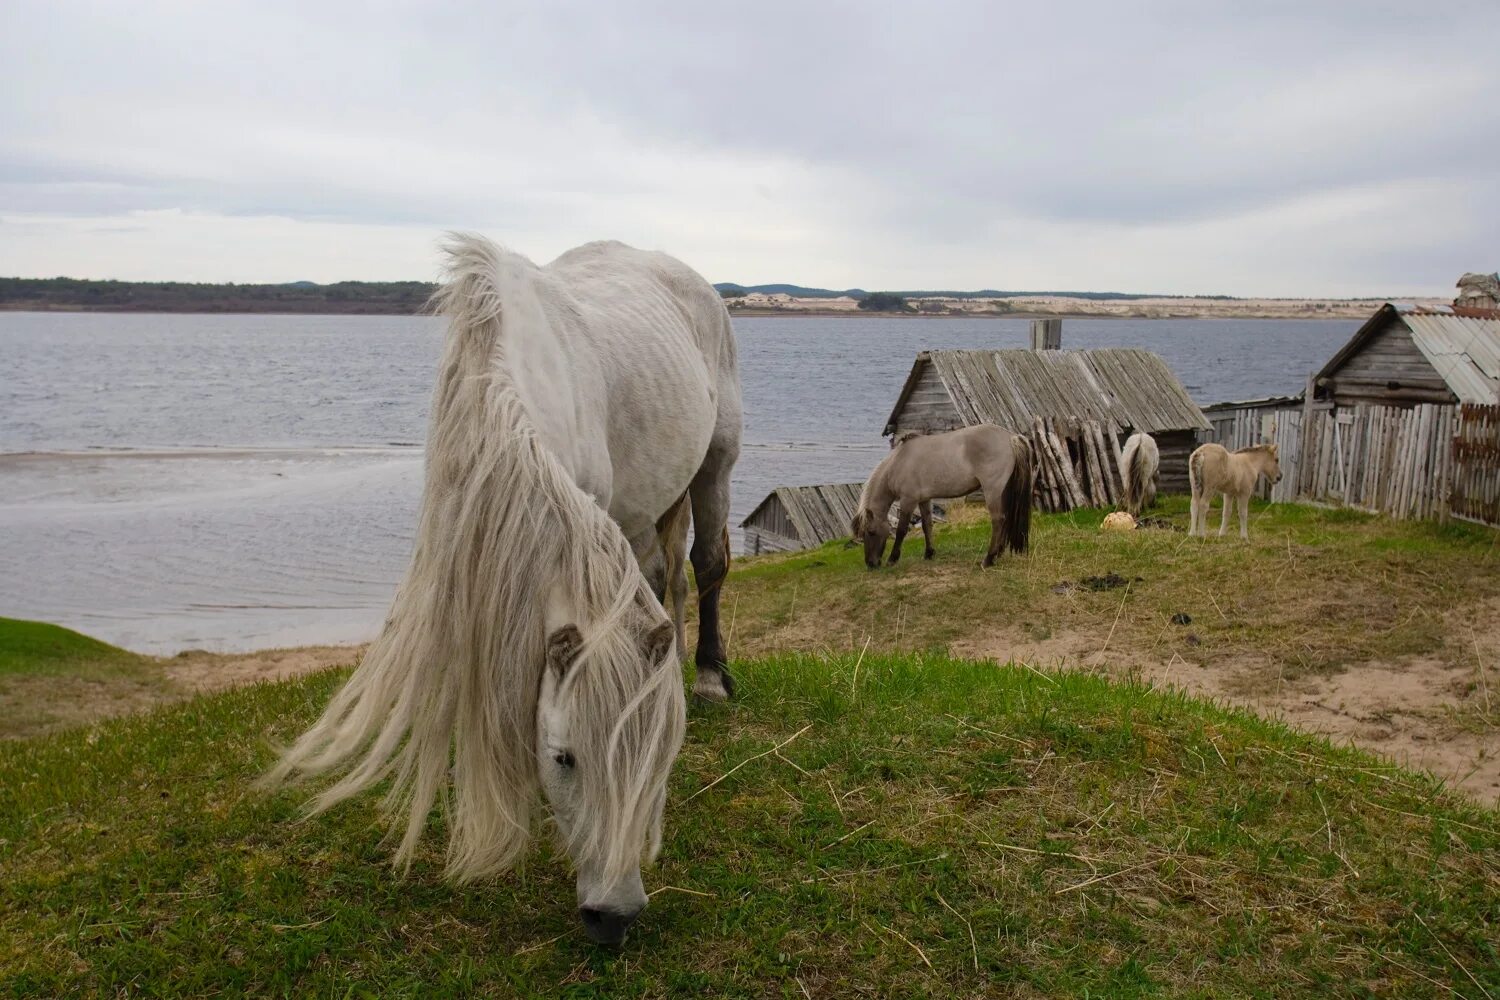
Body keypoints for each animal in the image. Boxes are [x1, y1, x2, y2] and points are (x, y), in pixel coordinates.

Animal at [268, 235, 744, 947]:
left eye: (662, 760)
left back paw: (710, 675)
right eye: (564, 758)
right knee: (666, 578)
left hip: (717, 459)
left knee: (708, 565)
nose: (614, 916)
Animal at [858, 425, 1032, 569]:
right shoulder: (924, 500)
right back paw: (998, 554)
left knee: (998, 520)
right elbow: (927, 525)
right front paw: (929, 553)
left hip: (993, 490)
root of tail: (1010, 437)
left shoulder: (908, 500)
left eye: (871, 532)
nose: (870, 563)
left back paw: (988, 559)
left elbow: (901, 530)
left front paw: (892, 559)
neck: (898, 463)